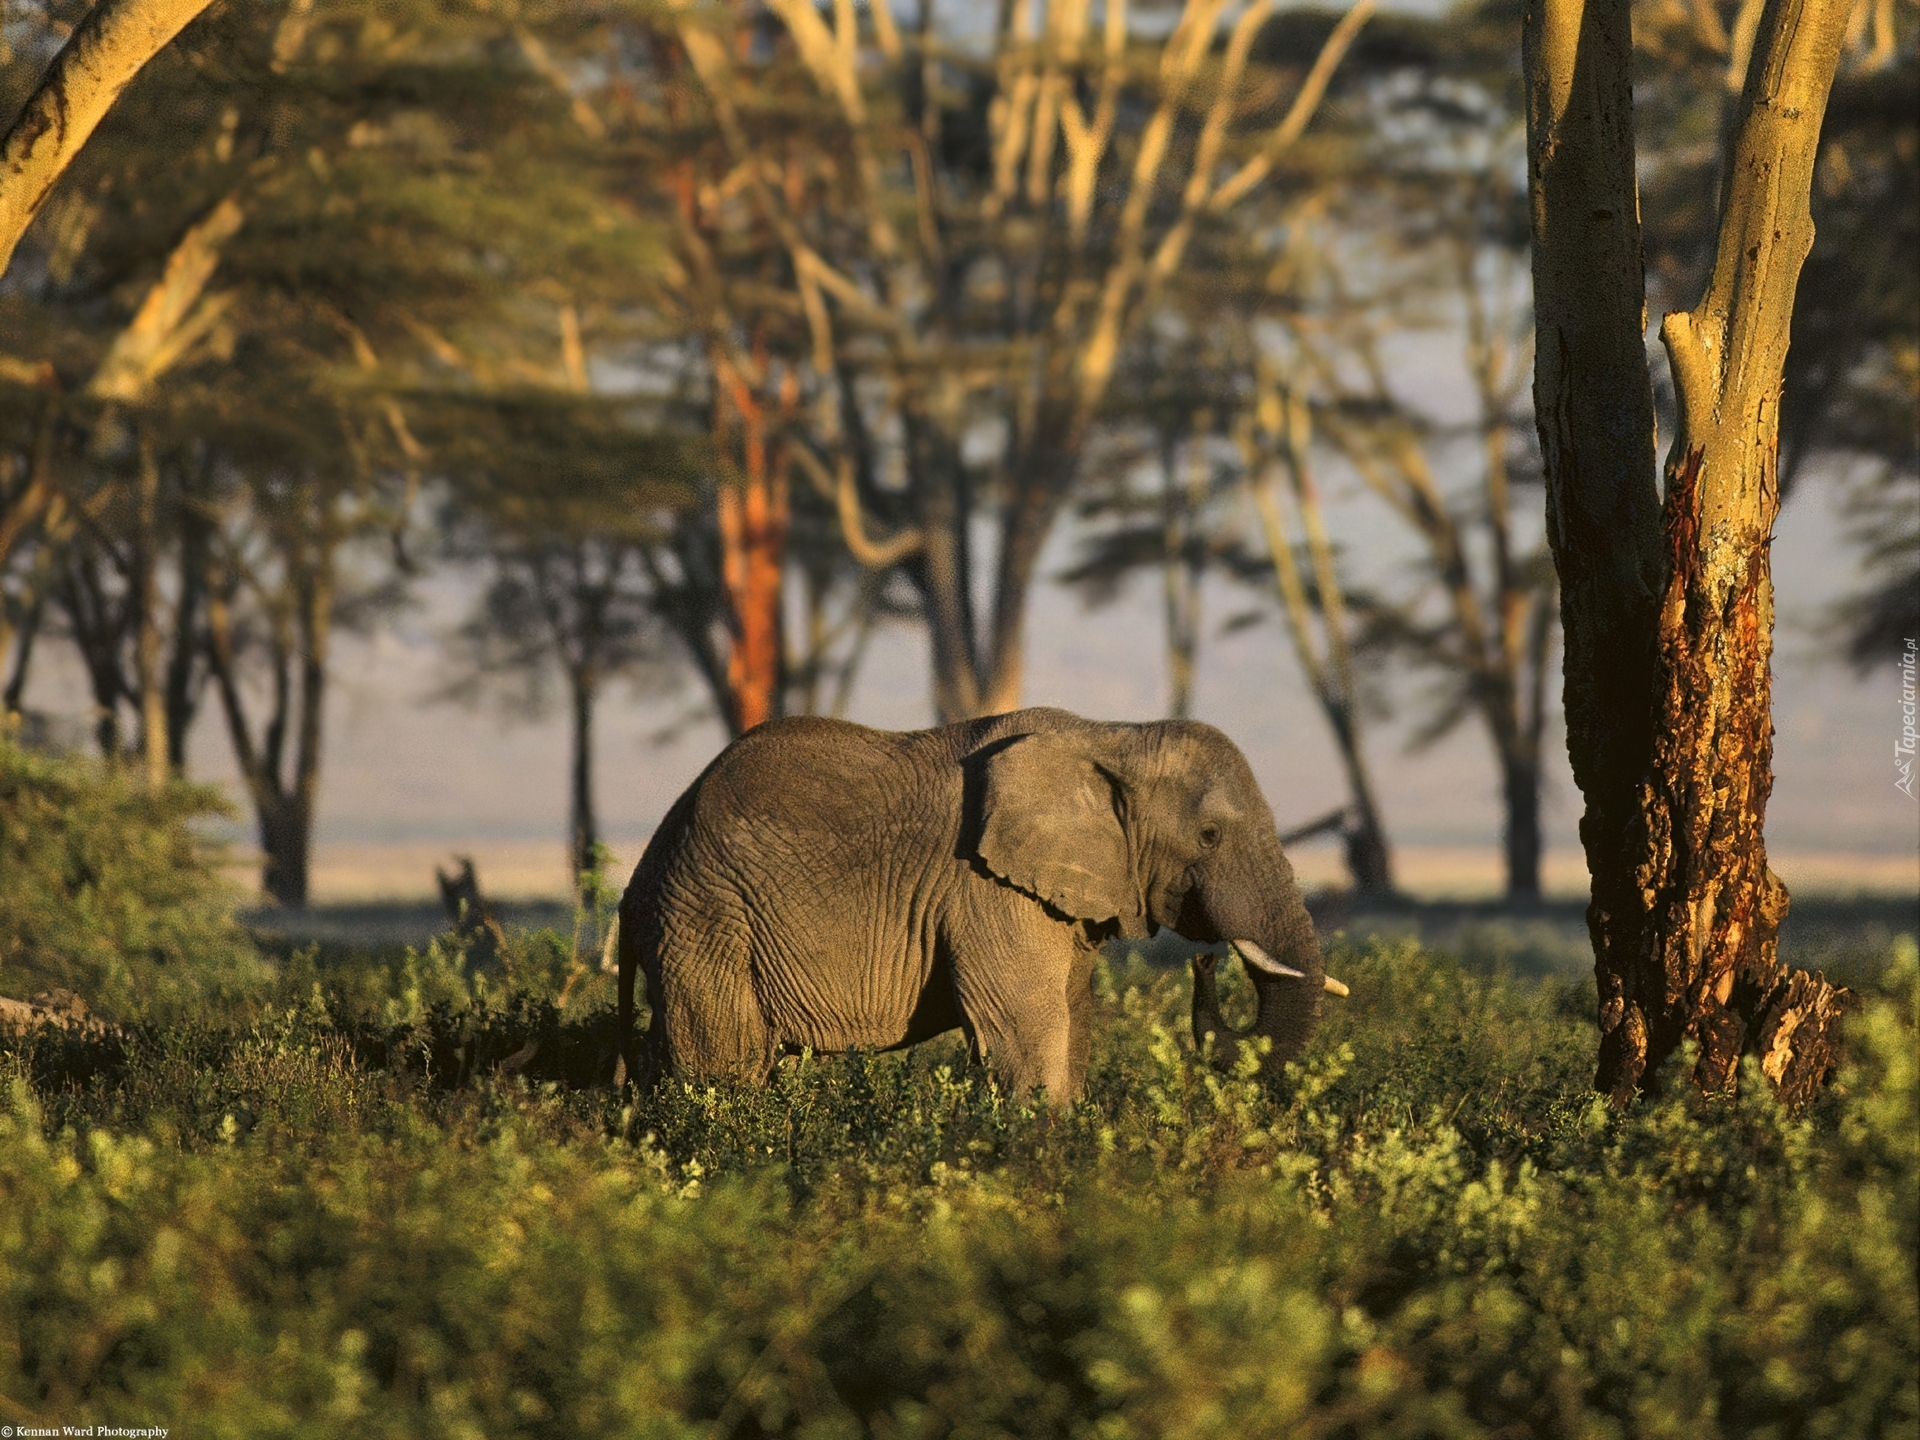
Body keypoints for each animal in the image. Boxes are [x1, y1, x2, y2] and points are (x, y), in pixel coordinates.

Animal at [614, 706, 1336, 1098]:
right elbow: (1030, 1034)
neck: (1112, 738)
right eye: (1210, 836)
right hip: (707, 918)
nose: (1205, 963)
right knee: (725, 1066)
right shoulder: (987, 891)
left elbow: (1072, 1025)